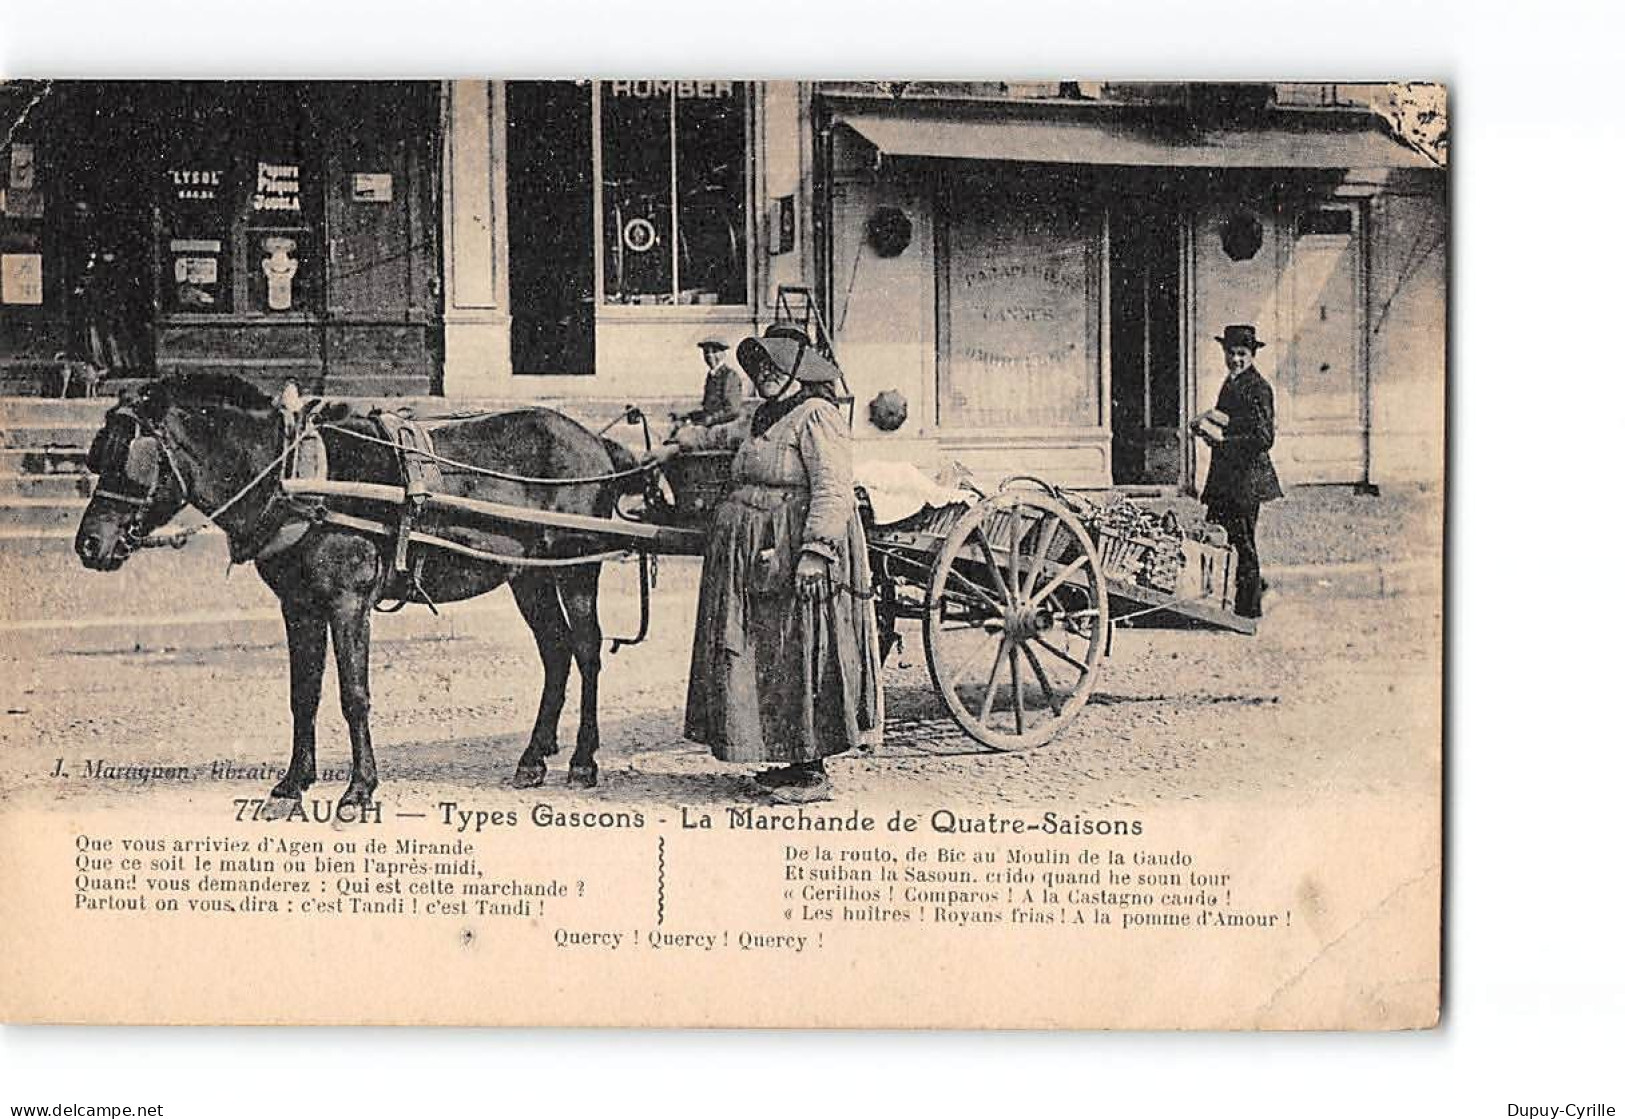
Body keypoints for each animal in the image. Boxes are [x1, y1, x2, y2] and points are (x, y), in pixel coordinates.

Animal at [73, 375, 640, 802]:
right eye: (100, 456)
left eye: (130, 458)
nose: (88, 544)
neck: (295, 479)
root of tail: (596, 441)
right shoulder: (299, 606)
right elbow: (304, 694)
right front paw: (292, 783)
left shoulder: (348, 603)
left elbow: (354, 695)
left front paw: (359, 787)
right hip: (528, 575)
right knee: (556, 652)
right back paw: (533, 757)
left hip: (576, 567)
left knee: (586, 650)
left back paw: (583, 759)